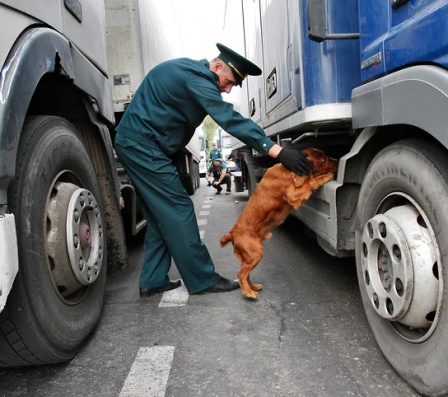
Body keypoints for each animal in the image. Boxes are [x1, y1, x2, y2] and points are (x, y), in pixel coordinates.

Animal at [219, 147, 338, 298]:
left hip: (248, 257)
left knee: (246, 274)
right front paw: (326, 176)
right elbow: (311, 181)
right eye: (323, 160)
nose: (338, 160)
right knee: (241, 274)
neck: (287, 170)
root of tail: (232, 233)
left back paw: (253, 287)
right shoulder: (293, 194)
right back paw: (248, 293)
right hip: (255, 253)